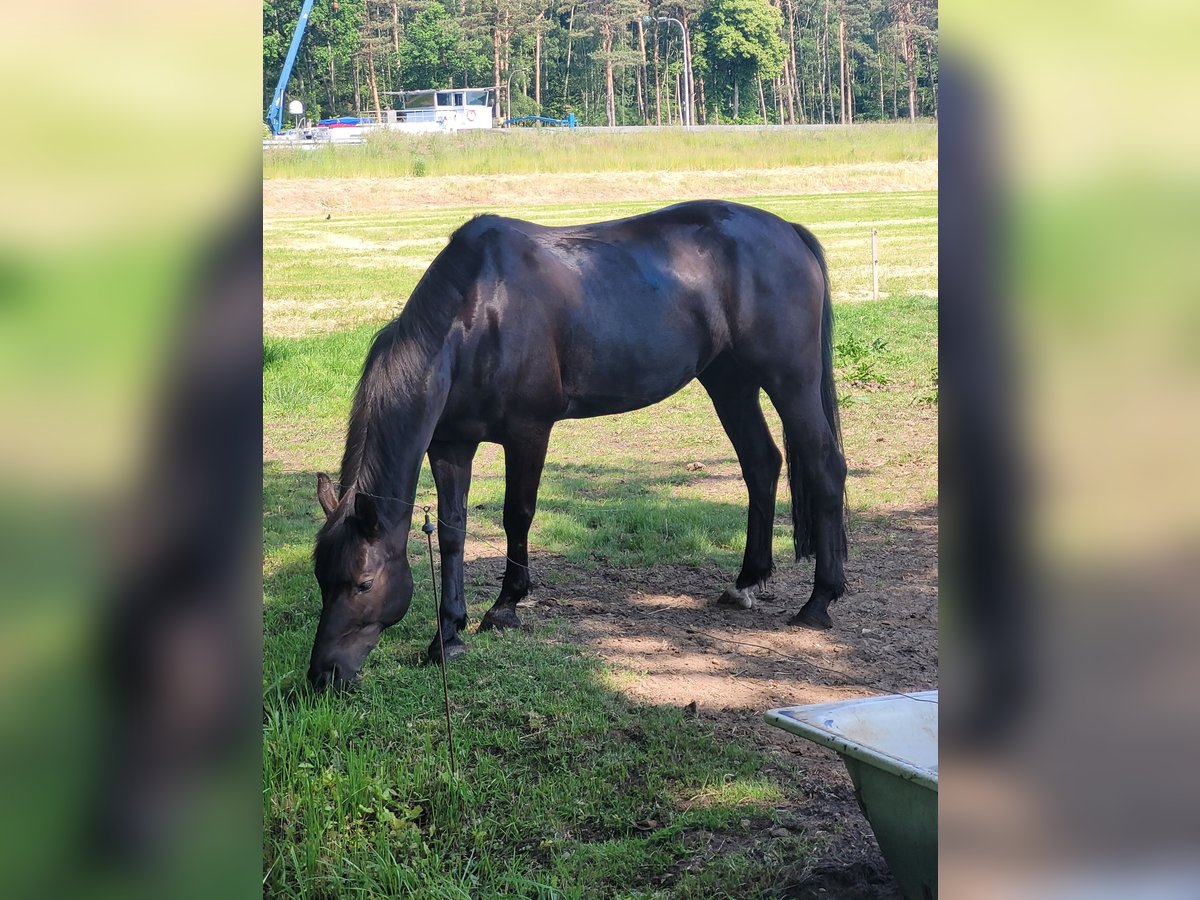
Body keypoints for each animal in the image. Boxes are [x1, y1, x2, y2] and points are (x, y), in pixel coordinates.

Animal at [304, 199, 849, 691]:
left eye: (364, 583)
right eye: (321, 579)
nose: (323, 676)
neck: (477, 315)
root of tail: (789, 231)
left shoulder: (528, 432)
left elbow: (517, 515)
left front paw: (505, 607)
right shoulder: (452, 445)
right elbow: (453, 531)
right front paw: (447, 636)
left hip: (791, 382)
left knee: (825, 467)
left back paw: (820, 600)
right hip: (730, 381)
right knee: (761, 463)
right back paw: (747, 581)